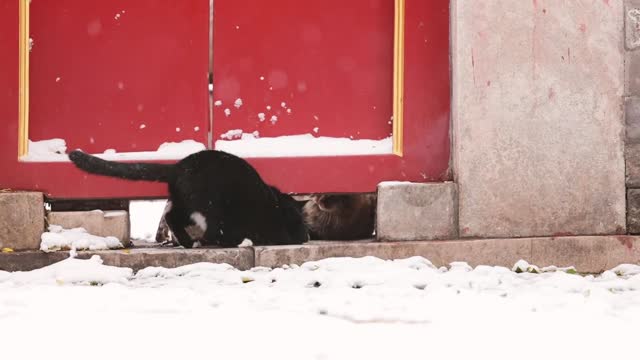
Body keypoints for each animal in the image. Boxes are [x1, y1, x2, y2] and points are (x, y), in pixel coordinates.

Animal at [69, 149, 308, 248]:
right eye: (299, 222)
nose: (306, 235)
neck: (276, 204)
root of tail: (178, 167)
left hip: (186, 205)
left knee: (172, 216)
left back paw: (188, 242)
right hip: (210, 208)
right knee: (212, 231)